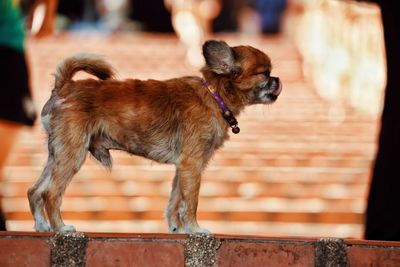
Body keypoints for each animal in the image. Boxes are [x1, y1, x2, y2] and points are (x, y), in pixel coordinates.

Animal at [27, 39, 282, 234]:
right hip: (73, 155)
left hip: (57, 154)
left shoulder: (184, 167)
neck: (213, 95)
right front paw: (195, 229)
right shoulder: (192, 164)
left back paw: (42, 226)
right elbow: (190, 202)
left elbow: (175, 201)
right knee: (51, 194)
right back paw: (61, 228)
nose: (278, 80)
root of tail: (64, 86)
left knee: (35, 191)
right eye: (264, 73)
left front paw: (178, 230)